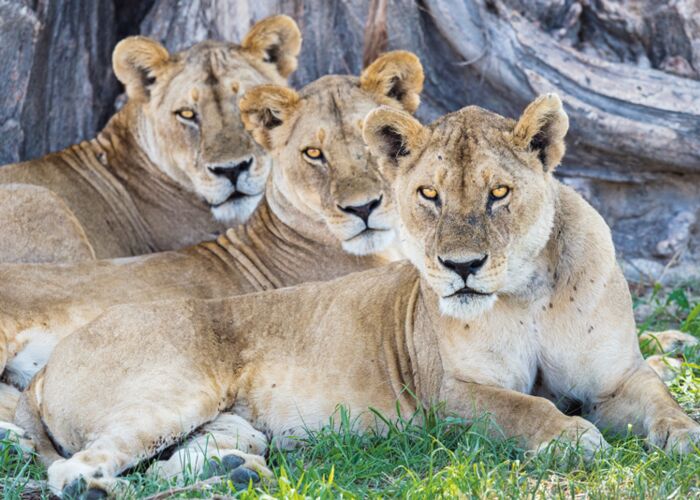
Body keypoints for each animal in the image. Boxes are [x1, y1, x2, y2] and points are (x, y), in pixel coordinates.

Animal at [11, 94, 698, 498]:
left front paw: (686, 438)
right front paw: (572, 437)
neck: (526, 290)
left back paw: (232, 473)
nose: (461, 268)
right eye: (428, 195)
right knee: (72, 468)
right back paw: (99, 488)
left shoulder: (615, 378)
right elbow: (525, 408)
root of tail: (47, 369)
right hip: (169, 393)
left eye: (499, 193)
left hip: (230, 424)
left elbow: (661, 401)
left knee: (180, 458)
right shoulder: (448, 395)